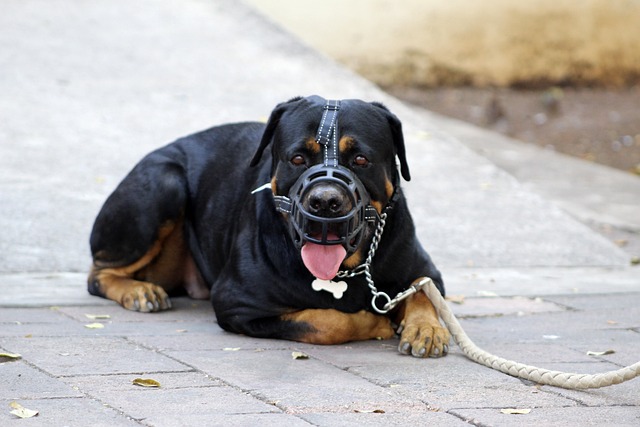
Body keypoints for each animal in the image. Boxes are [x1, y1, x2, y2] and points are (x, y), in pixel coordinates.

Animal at [87, 96, 450, 358]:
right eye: (298, 158)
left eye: (361, 159)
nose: (325, 201)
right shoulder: (238, 302)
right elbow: (326, 320)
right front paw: (374, 322)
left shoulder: (424, 268)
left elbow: (423, 290)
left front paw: (426, 329)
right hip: (165, 182)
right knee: (98, 274)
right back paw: (138, 291)